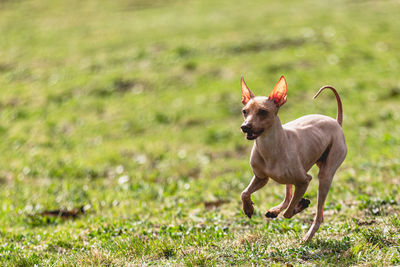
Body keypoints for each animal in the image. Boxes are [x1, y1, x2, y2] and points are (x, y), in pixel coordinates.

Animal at [241, 76, 346, 243]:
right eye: (244, 111)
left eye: (263, 111)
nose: (245, 127)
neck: (269, 148)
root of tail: (336, 122)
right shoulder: (261, 178)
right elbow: (244, 193)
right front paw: (248, 208)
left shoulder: (304, 181)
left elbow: (288, 213)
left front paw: (300, 206)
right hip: (290, 178)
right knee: (288, 197)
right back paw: (275, 210)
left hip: (325, 175)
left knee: (319, 215)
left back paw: (308, 234)